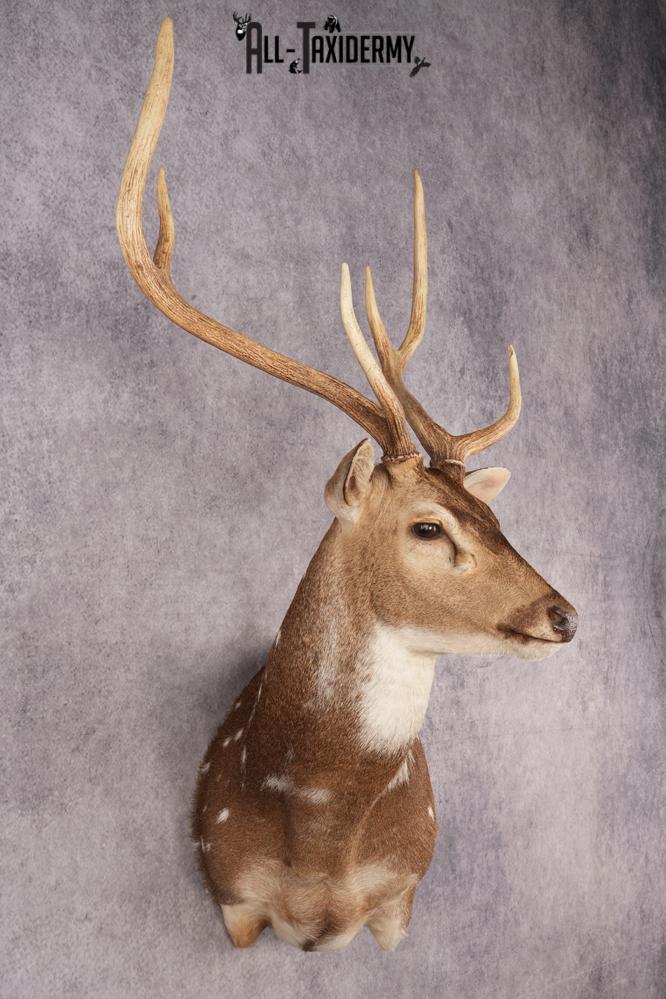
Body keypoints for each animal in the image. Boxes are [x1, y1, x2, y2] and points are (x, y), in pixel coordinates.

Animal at [116, 18, 578, 953]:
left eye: (494, 512)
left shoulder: (400, 899)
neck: (323, 850)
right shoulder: (231, 894)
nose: (564, 614)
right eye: (430, 526)